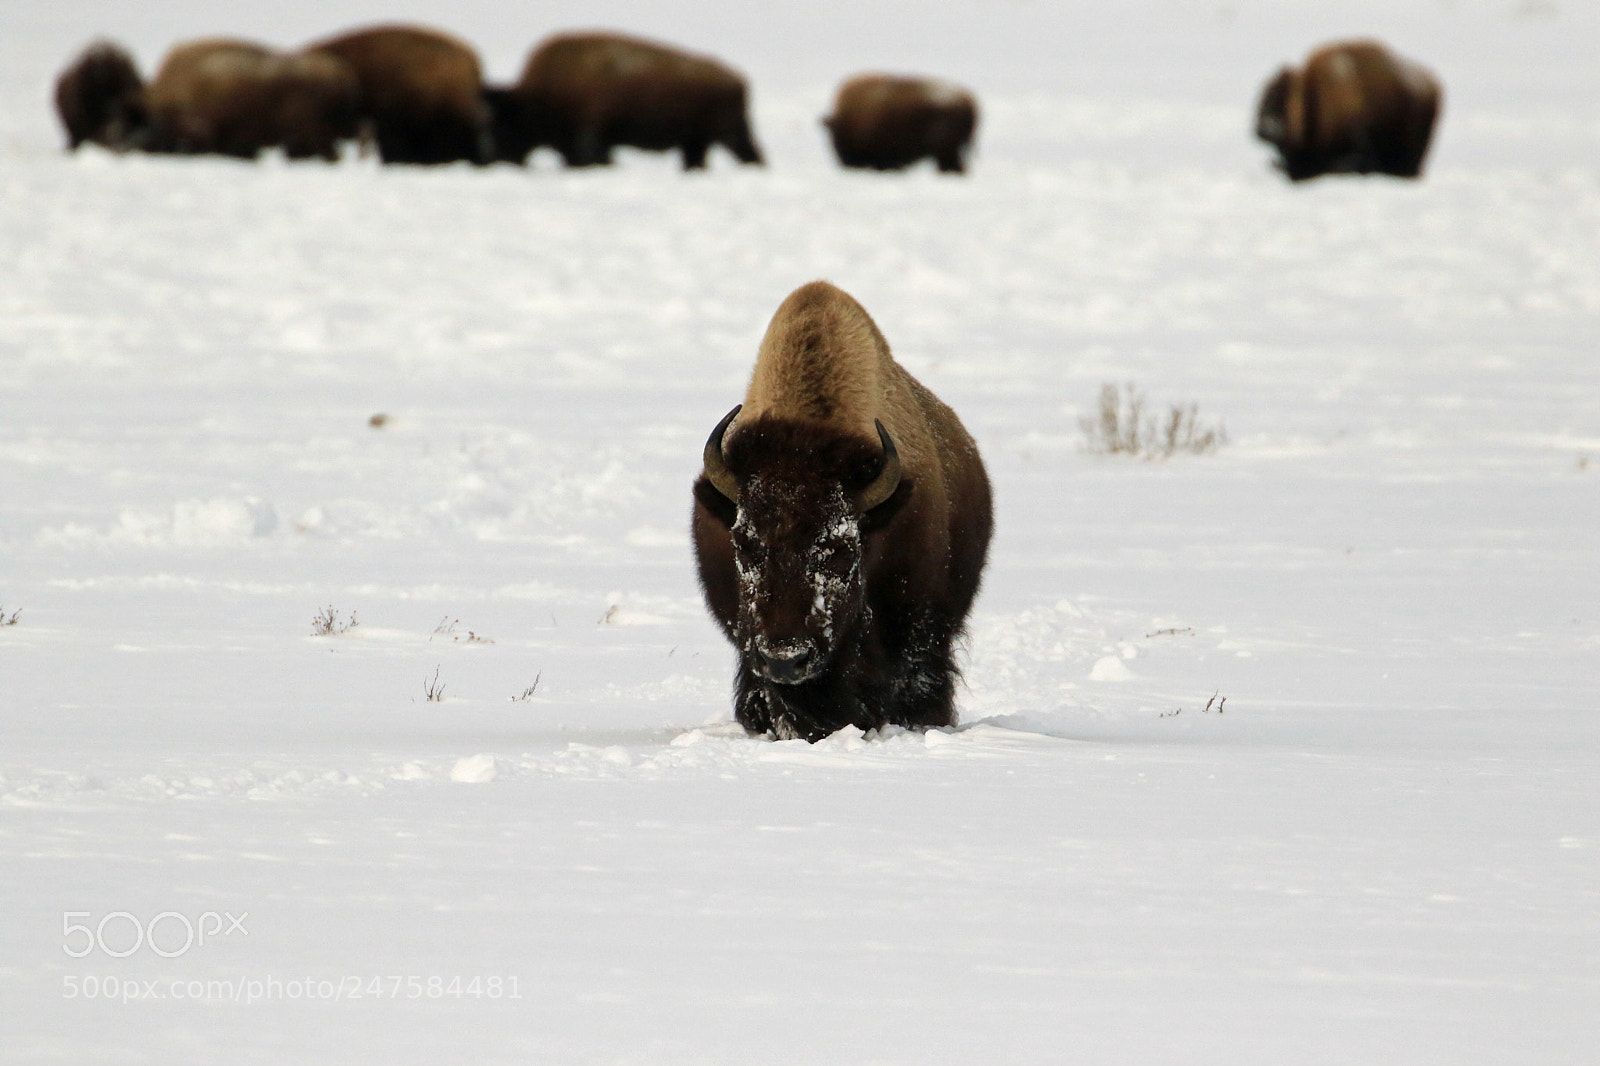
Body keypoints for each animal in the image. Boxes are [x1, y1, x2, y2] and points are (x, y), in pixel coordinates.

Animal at [488, 32, 762, 169]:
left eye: (506, 124)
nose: (497, 159)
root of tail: (739, 79)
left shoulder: (591, 135)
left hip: (728, 134)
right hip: (697, 141)